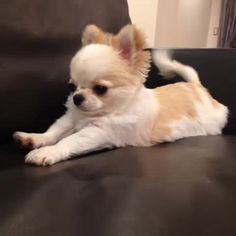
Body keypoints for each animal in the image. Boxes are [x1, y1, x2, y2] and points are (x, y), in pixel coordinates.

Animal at [13, 24, 229, 166]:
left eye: (100, 89)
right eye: (72, 86)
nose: (77, 98)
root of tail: (197, 88)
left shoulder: (100, 132)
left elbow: (69, 140)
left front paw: (47, 152)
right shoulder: (71, 118)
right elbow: (54, 131)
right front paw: (34, 139)